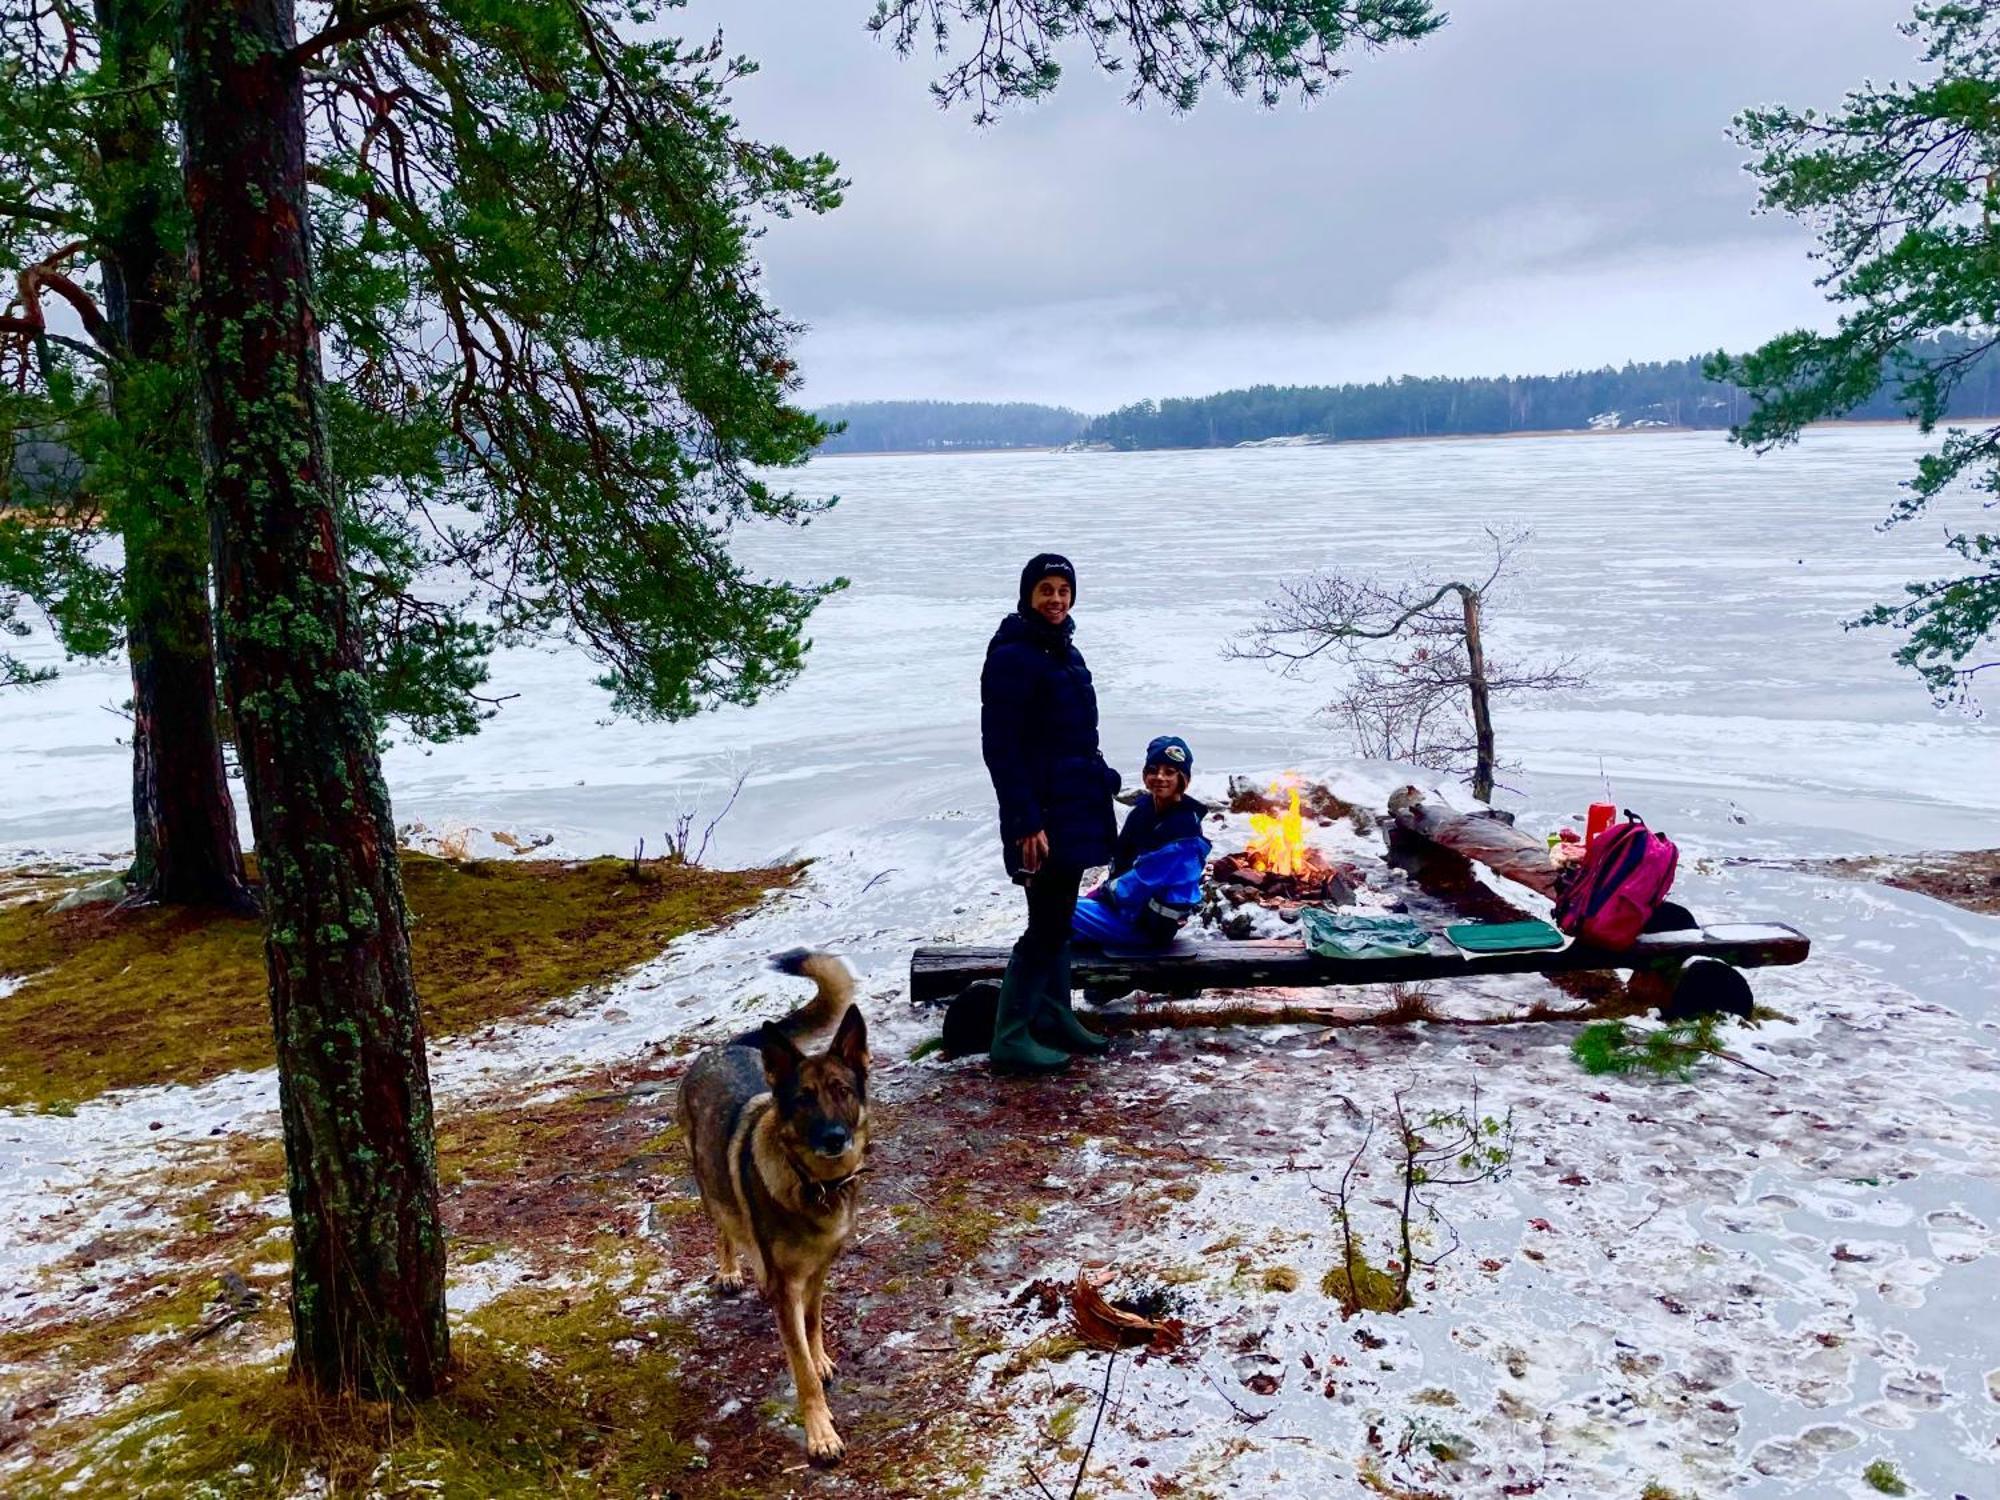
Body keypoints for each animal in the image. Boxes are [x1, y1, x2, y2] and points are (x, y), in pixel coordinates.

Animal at [680, 952, 868, 1472]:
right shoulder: (786, 1286)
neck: (814, 1186)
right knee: (724, 1227)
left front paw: (820, 1357)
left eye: (843, 1091)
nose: (834, 1139)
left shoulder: (819, 1270)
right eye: (803, 1098)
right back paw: (730, 1270)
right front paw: (821, 1434)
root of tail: (725, 1045)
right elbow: (799, 1367)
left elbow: (813, 1323)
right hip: (709, 1183)